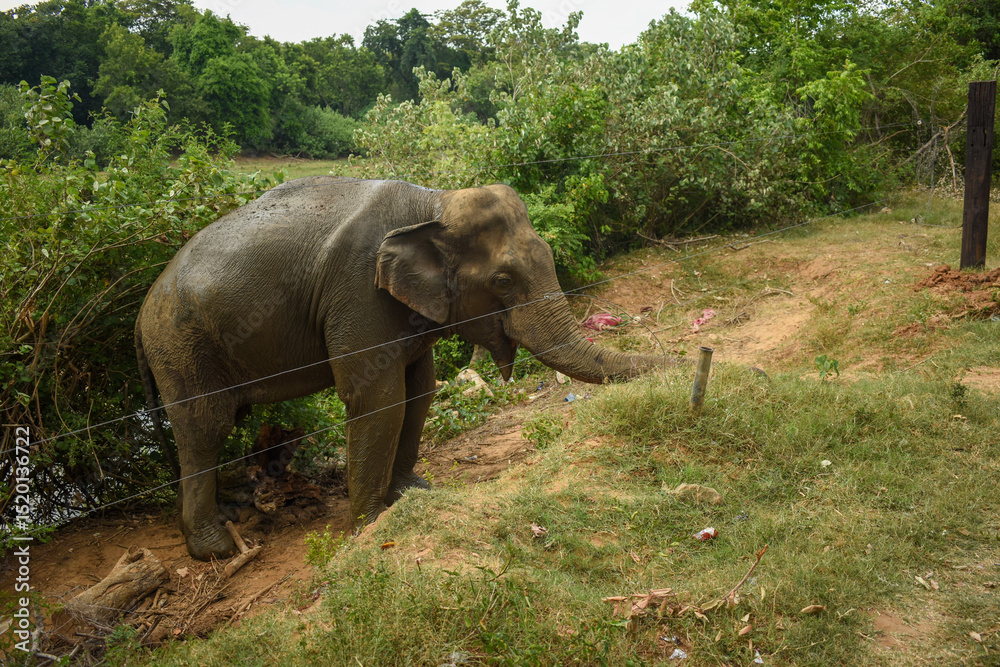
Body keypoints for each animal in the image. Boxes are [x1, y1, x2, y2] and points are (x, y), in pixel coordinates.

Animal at [135, 176, 670, 561]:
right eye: (503, 279)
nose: (679, 365)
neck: (431, 203)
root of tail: (139, 319)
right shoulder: (359, 293)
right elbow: (378, 399)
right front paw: (371, 526)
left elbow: (422, 388)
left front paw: (413, 493)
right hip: (181, 349)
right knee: (206, 429)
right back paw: (216, 550)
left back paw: (228, 515)